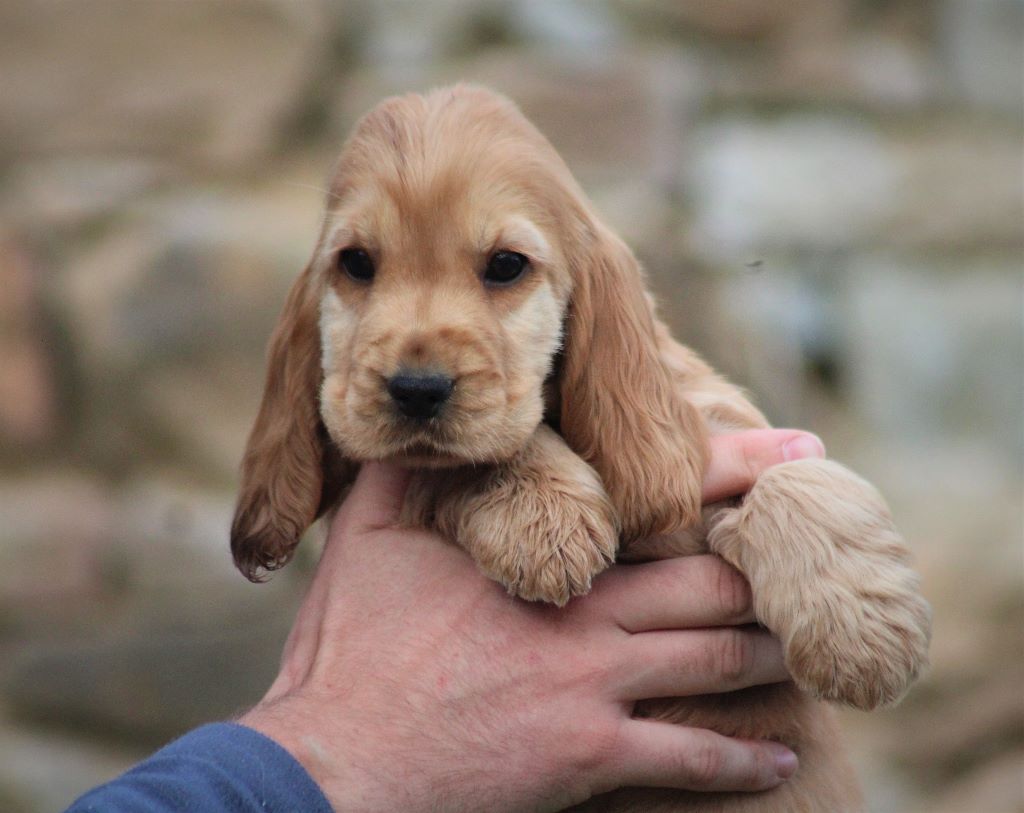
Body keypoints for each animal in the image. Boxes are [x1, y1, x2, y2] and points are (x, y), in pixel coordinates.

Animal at [230, 85, 931, 811]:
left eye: (506, 265)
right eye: (357, 263)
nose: (417, 389)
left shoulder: (715, 427)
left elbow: (800, 479)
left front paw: (860, 633)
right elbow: (465, 460)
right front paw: (544, 520)